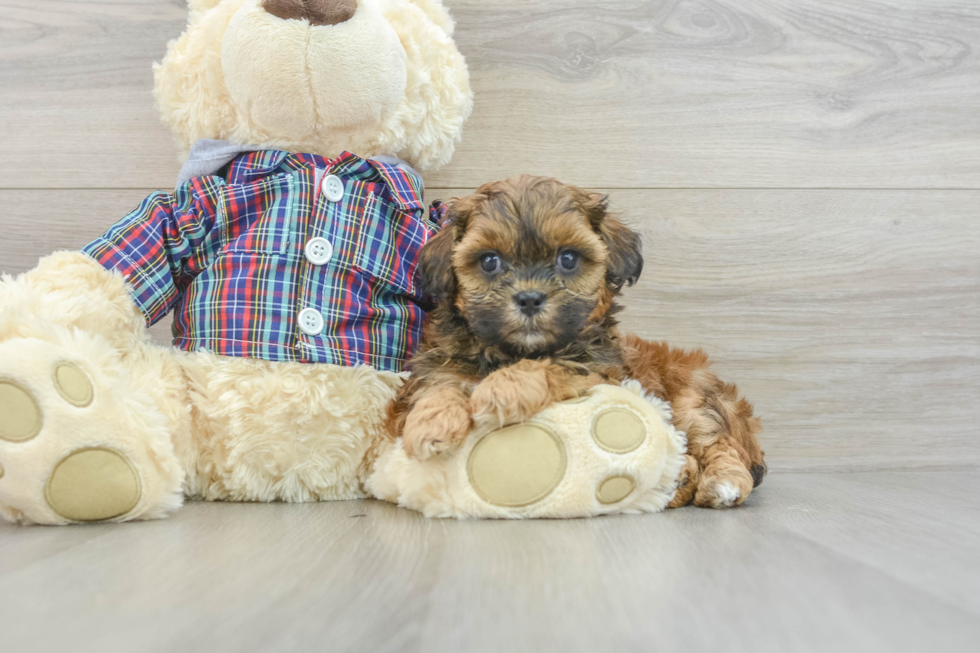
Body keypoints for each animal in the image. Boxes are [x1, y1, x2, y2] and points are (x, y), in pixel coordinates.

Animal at [388, 176, 764, 506]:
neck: (513, 351)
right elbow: (438, 386)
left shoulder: (598, 371)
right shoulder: (437, 366)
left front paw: (502, 389)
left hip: (692, 402)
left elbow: (553, 366)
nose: (529, 298)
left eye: (568, 258)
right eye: (489, 261)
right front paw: (430, 423)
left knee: (717, 444)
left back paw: (722, 483)